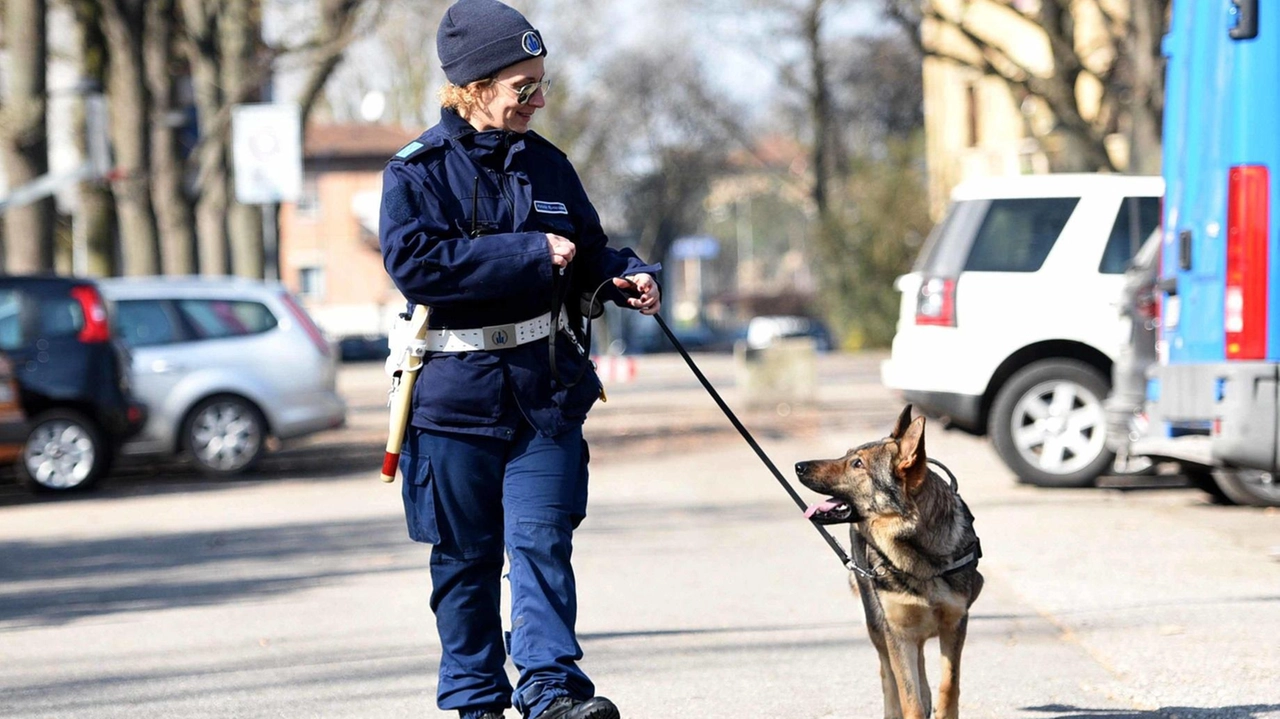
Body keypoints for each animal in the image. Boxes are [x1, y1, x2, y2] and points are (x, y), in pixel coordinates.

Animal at [793, 404, 983, 716]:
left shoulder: (955, 624)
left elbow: (949, 685)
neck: (920, 557)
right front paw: (914, 704)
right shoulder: (897, 633)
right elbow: (908, 697)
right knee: (888, 673)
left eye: (857, 463)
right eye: (847, 455)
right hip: (877, 624)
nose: (798, 466)